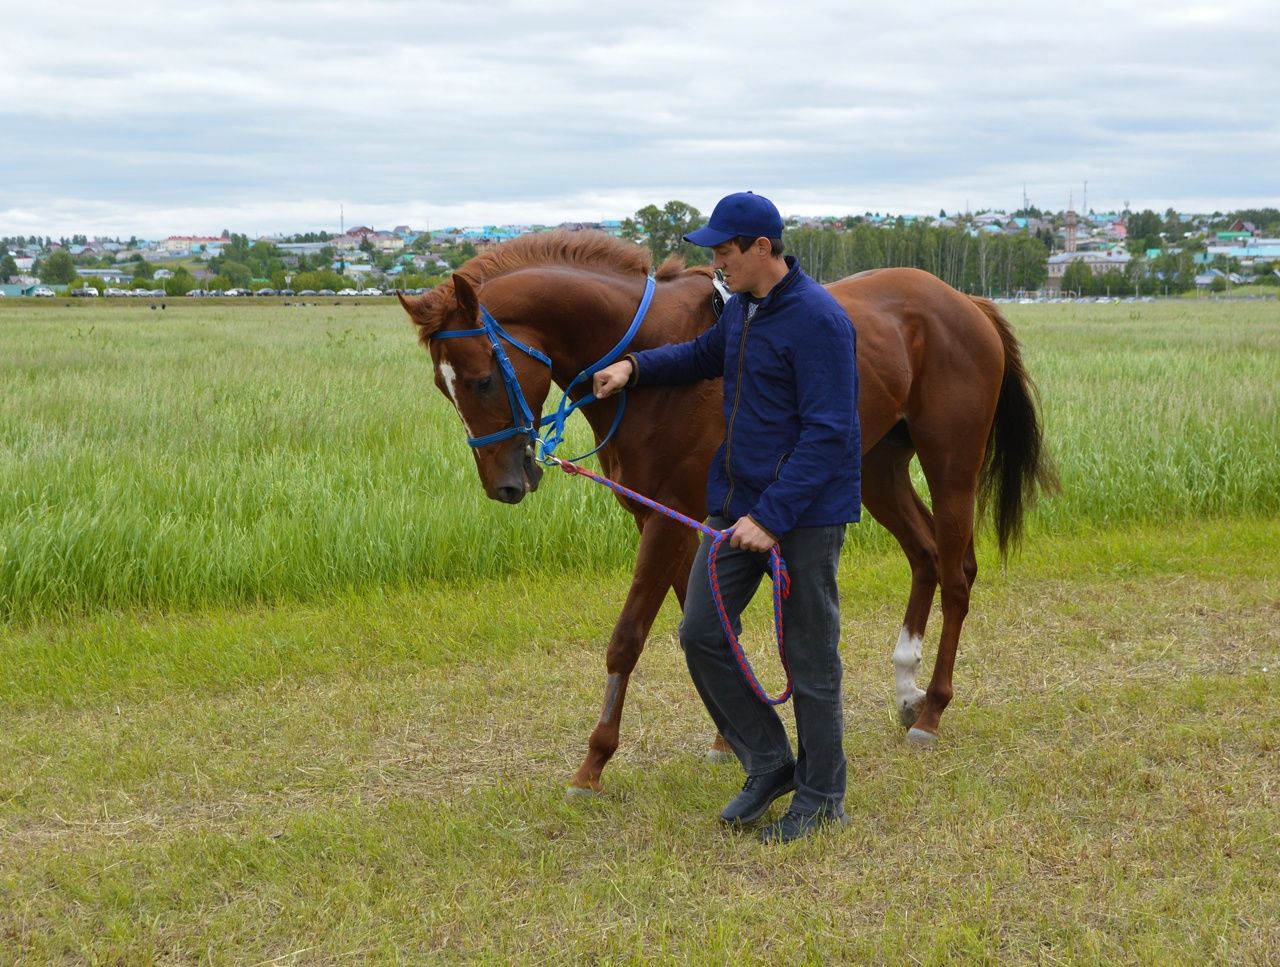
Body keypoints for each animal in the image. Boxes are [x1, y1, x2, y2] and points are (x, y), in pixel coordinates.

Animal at [396, 233, 1049, 794]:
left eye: (482, 380)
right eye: (444, 387)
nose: (505, 484)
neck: (646, 349)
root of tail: (964, 301)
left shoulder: (670, 518)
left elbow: (630, 637)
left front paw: (594, 763)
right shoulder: (663, 515)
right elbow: (704, 618)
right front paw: (728, 736)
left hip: (951, 467)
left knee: (958, 575)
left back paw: (932, 709)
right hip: (877, 470)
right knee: (926, 556)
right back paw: (907, 686)